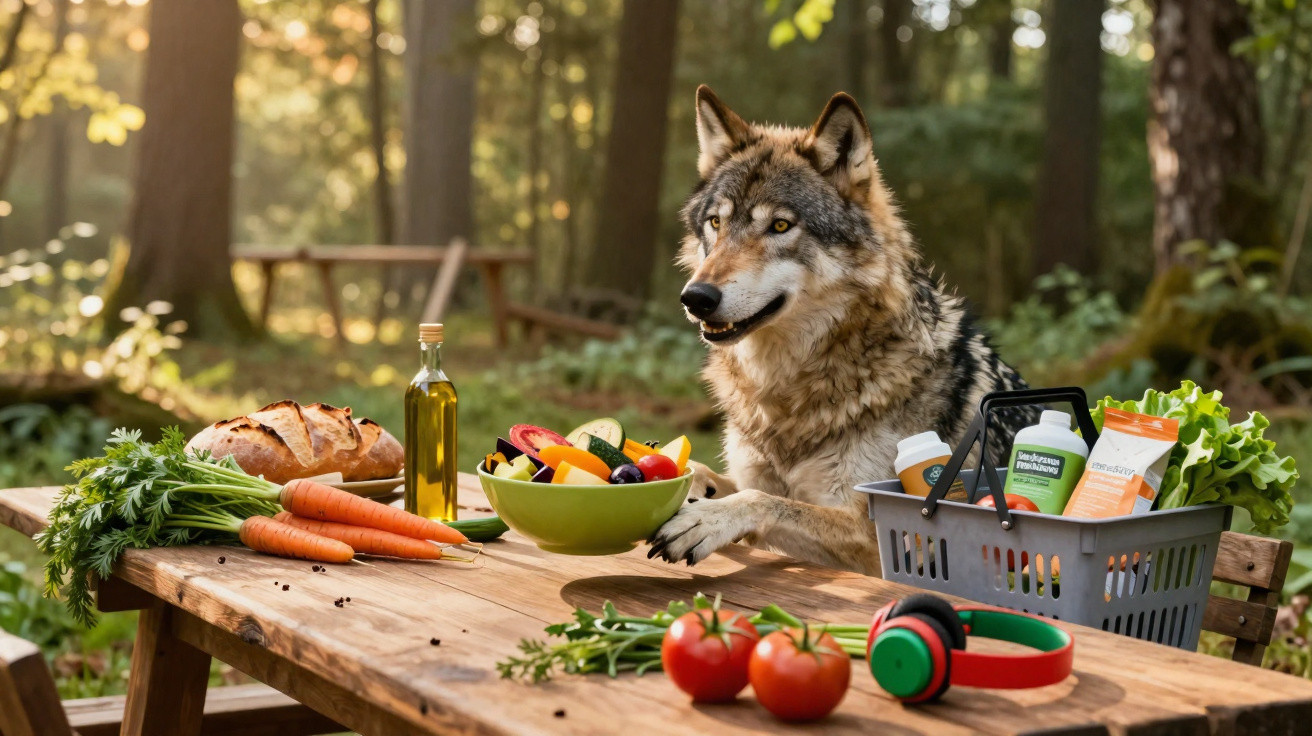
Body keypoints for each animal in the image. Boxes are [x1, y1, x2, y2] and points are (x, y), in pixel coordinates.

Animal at [646, 86, 1037, 576]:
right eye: (716, 222)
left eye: (780, 225)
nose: (696, 297)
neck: (787, 393)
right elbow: (718, 475)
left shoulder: (878, 536)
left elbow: (762, 500)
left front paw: (707, 519)